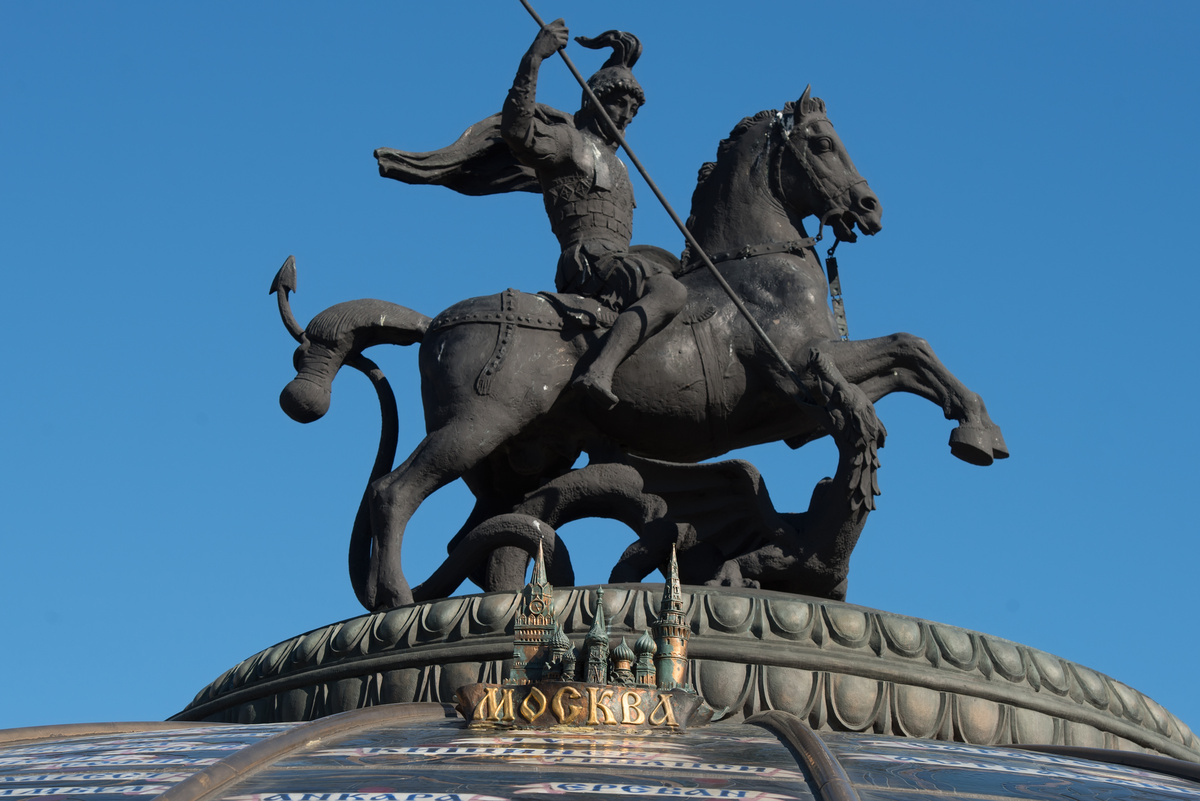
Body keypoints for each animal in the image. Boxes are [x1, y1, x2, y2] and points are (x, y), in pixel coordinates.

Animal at [278, 87, 1003, 609]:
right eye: (822, 143)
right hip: (475, 427)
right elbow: (904, 351)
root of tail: (434, 324)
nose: (870, 207)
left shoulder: (803, 404)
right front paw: (969, 431)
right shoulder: (796, 381)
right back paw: (398, 599)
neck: (756, 267)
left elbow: (910, 355)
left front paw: (976, 429)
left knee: (488, 530)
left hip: (519, 460)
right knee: (394, 493)